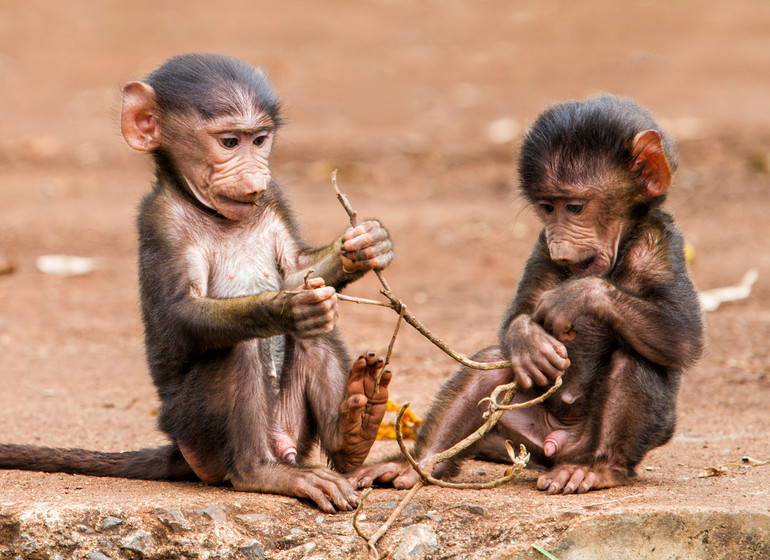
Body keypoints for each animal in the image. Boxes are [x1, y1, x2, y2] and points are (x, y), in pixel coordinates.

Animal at [0, 53, 392, 512]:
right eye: (229, 143)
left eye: (260, 140)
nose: (255, 179)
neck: (210, 211)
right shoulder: (160, 221)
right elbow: (180, 313)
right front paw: (286, 306)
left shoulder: (273, 196)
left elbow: (299, 270)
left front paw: (366, 245)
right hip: (194, 431)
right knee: (237, 347)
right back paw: (263, 471)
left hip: (290, 425)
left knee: (318, 333)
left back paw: (353, 433)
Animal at [352, 95, 704, 494]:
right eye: (547, 207)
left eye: (575, 207)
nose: (558, 241)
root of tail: (557, 447)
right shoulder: (540, 247)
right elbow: (516, 317)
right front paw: (527, 340)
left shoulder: (659, 244)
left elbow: (682, 338)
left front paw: (577, 296)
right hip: (524, 431)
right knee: (491, 368)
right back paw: (418, 464)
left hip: (609, 441)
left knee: (635, 359)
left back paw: (599, 469)